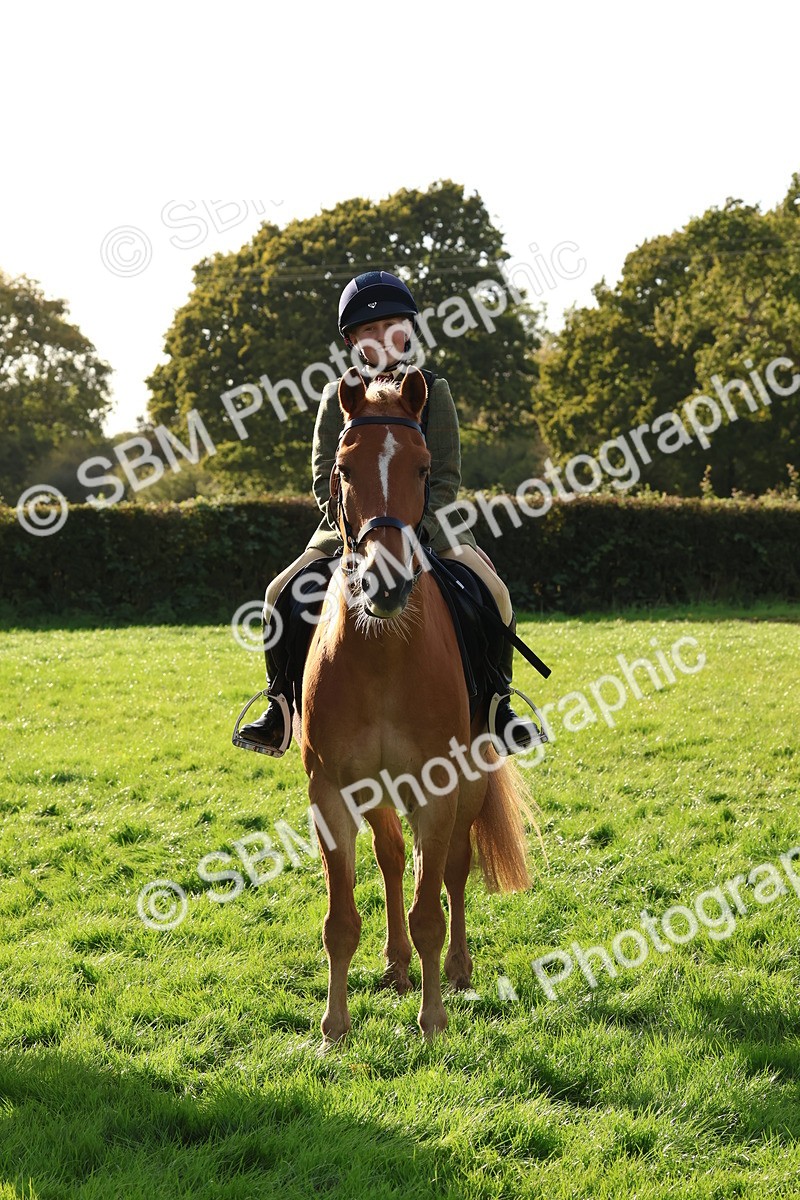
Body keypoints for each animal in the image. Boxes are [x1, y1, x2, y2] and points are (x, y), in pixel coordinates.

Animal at [300, 366, 537, 1043]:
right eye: (343, 468)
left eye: (424, 467)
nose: (384, 583)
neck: (383, 653)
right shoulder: (331, 792)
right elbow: (340, 921)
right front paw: (333, 1029)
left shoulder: (439, 789)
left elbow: (433, 904)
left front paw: (432, 1023)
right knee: (392, 859)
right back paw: (397, 966)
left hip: (471, 780)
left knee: (453, 869)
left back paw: (454, 972)